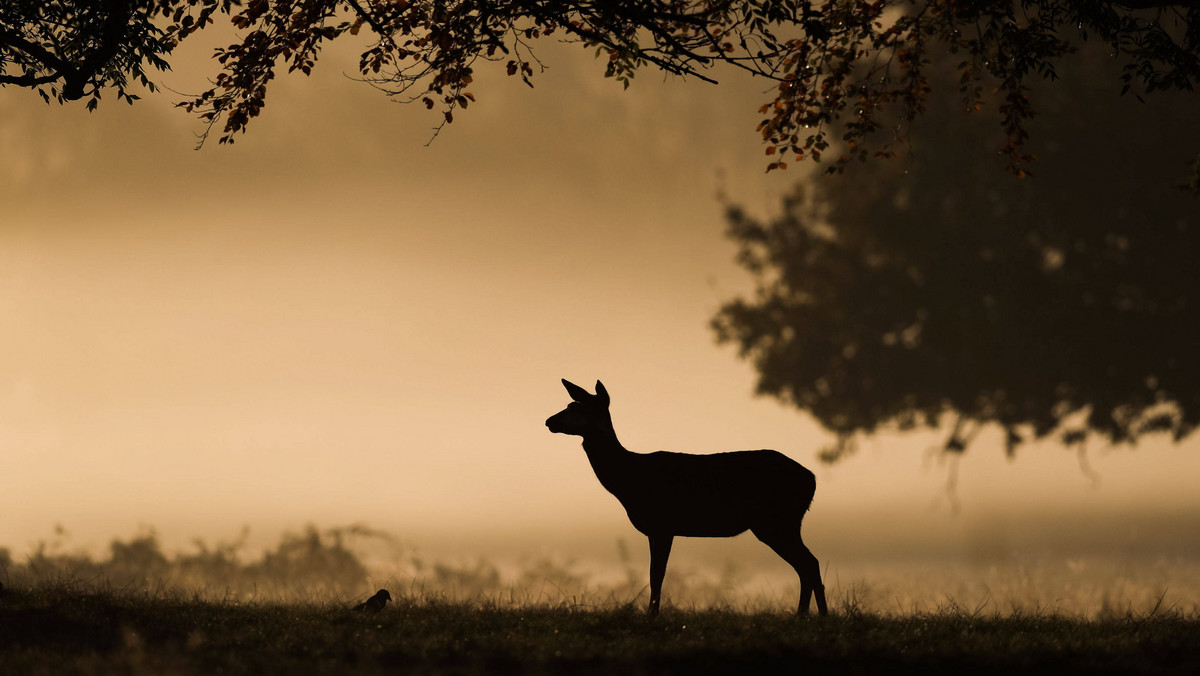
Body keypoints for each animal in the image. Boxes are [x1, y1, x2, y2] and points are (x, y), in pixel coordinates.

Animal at [544, 379, 825, 614]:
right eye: (569, 404)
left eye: (578, 408)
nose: (549, 421)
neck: (630, 480)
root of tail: (811, 479)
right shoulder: (658, 529)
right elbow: (655, 574)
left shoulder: (662, 525)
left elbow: (656, 575)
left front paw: (652, 616)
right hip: (783, 522)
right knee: (807, 564)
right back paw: (811, 616)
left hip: (776, 521)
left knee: (808, 563)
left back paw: (811, 616)